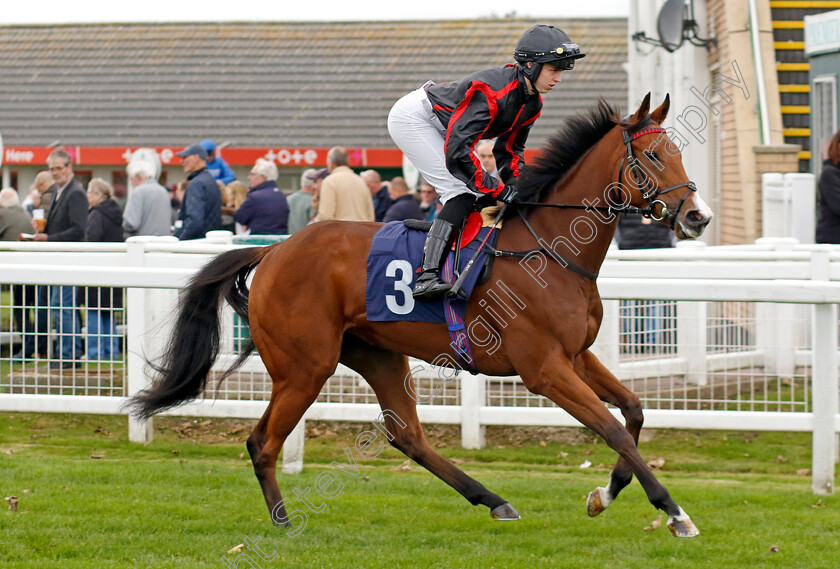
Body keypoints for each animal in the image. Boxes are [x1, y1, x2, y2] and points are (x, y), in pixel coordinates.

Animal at [133, 94, 716, 536]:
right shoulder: (544, 369)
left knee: (407, 435)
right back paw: (282, 521)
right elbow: (612, 428)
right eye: (654, 157)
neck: (549, 250)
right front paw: (674, 511)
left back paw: (493, 499)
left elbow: (634, 411)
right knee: (262, 442)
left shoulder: (576, 355)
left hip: (378, 356)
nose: (698, 216)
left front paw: (605, 493)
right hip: (305, 367)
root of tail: (274, 250)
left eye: (678, 152)